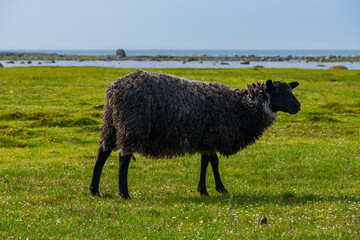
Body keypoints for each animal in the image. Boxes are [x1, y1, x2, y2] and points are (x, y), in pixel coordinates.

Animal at [88, 70, 300, 198]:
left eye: (291, 89)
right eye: (280, 92)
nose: (298, 106)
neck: (240, 106)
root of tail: (113, 90)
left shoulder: (209, 137)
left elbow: (211, 162)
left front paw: (217, 188)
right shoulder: (210, 136)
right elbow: (208, 162)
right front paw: (208, 190)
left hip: (111, 124)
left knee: (102, 153)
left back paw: (94, 190)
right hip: (132, 125)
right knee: (123, 158)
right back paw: (124, 193)